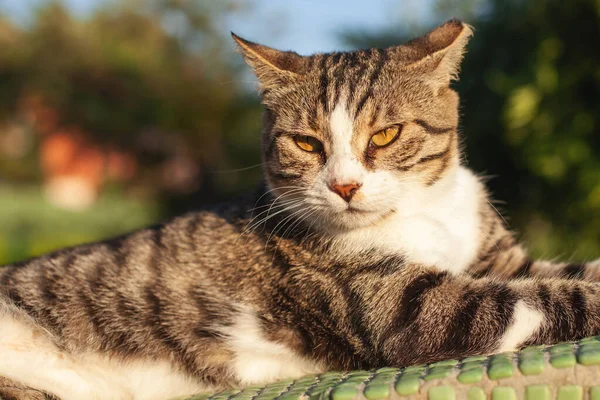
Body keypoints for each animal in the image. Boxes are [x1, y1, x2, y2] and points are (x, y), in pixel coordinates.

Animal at [1, 18, 600, 400]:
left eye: (385, 135)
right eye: (307, 144)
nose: (345, 186)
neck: (422, 215)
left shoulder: (499, 259)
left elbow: (561, 274)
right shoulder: (406, 309)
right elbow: (539, 301)